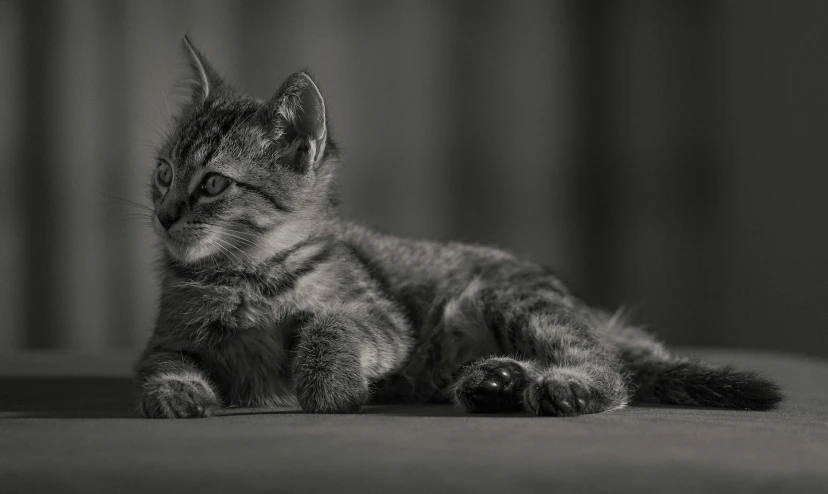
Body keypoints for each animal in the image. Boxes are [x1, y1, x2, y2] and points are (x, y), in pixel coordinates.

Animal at [136, 36, 784, 418]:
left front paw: (330, 386)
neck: (245, 274)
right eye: (163, 173)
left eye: (213, 185)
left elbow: (332, 325)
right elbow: (163, 367)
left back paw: (563, 387)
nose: (164, 215)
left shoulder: (381, 316)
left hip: (510, 299)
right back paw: (494, 381)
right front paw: (177, 393)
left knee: (608, 368)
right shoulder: (167, 341)